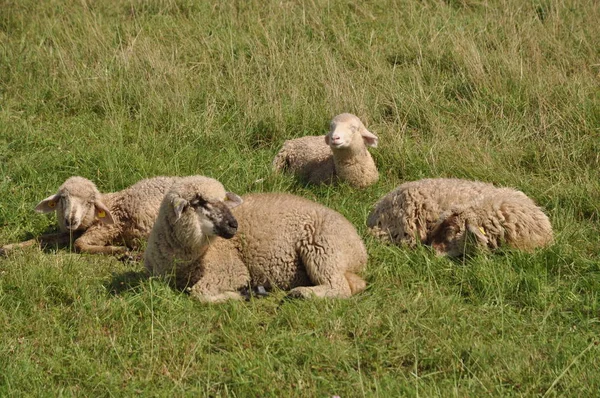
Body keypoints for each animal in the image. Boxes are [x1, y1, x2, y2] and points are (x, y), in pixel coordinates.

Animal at [1, 176, 180, 256]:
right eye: (63, 198)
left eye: (89, 202)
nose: (70, 220)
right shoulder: (74, 231)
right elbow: (42, 238)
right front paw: (10, 247)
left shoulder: (107, 228)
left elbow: (79, 244)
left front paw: (117, 249)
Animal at [145, 176, 370, 304]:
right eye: (199, 202)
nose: (233, 225)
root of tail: (360, 249)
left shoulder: (230, 269)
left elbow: (198, 292)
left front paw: (240, 295)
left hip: (323, 247)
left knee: (340, 287)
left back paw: (301, 294)